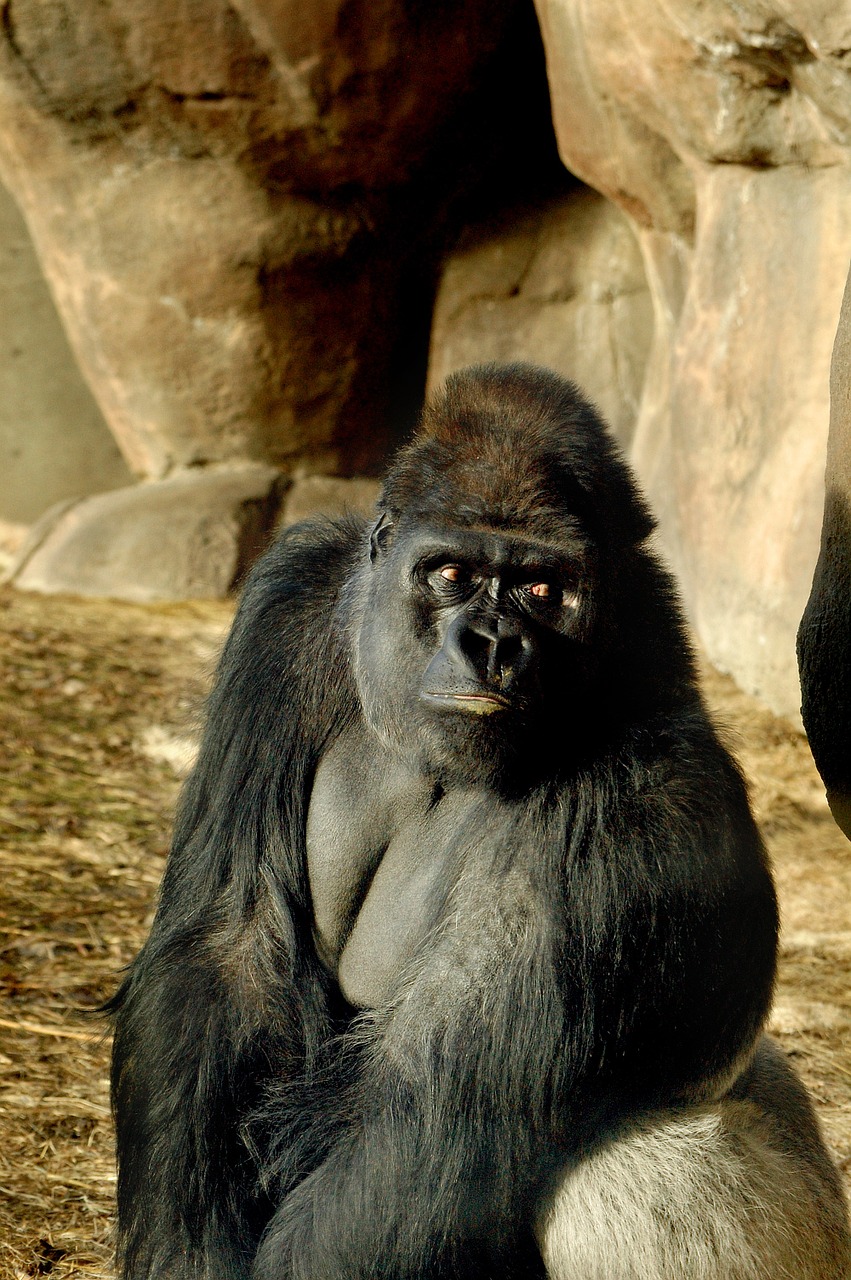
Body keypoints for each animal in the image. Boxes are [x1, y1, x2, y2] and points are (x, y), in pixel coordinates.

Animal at [111, 363, 849, 1280]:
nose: (492, 644)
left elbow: (416, 1135)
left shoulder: (641, 804)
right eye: (451, 574)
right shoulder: (289, 606)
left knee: (635, 1162)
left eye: (541, 589)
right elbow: (226, 943)